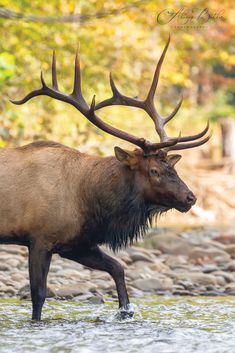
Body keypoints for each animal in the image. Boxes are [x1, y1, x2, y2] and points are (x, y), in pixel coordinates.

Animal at [1, 37, 209, 320]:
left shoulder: (76, 243)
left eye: (173, 168)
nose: (190, 197)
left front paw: (125, 310)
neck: (89, 202)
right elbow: (38, 296)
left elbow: (118, 268)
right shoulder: (40, 238)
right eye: (154, 170)